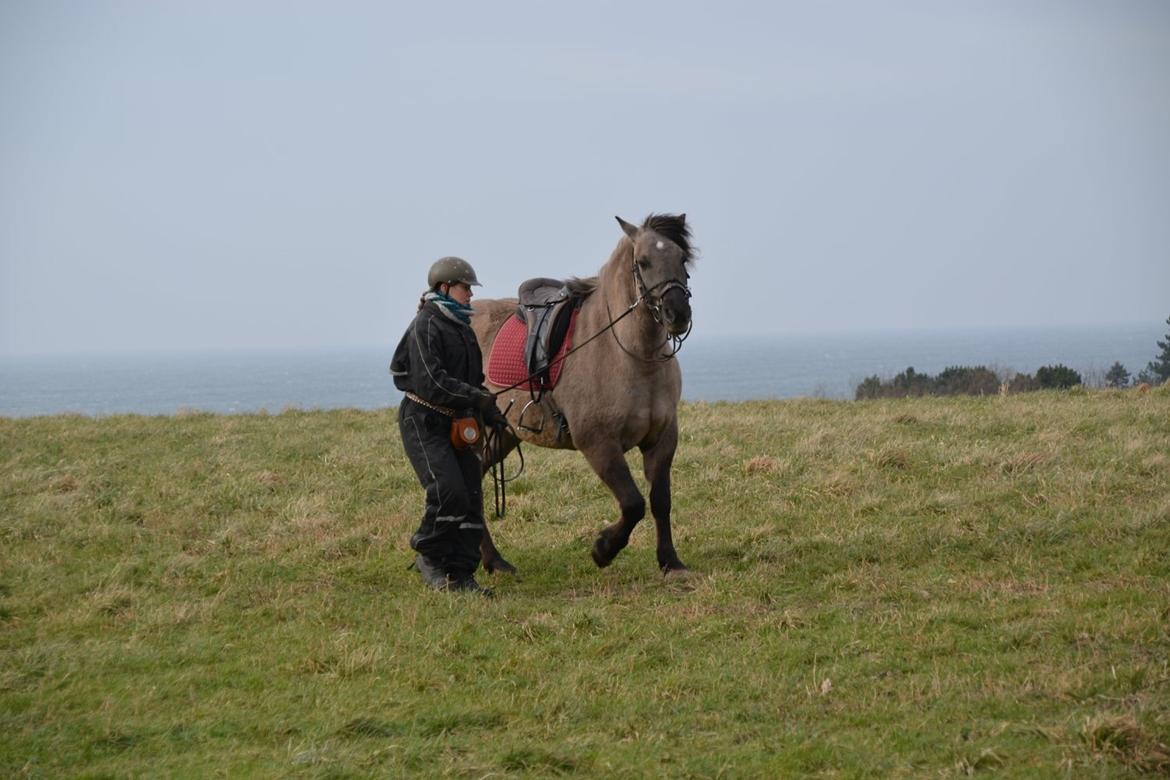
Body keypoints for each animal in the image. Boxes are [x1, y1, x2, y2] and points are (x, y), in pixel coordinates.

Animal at [472, 211, 692, 573]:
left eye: (682, 258)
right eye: (643, 262)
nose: (678, 313)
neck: (629, 355)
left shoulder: (662, 439)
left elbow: (660, 501)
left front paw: (670, 561)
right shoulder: (598, 444)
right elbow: (633, 503)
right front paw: (603, 549)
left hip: (503, 434)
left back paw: (494, 561)